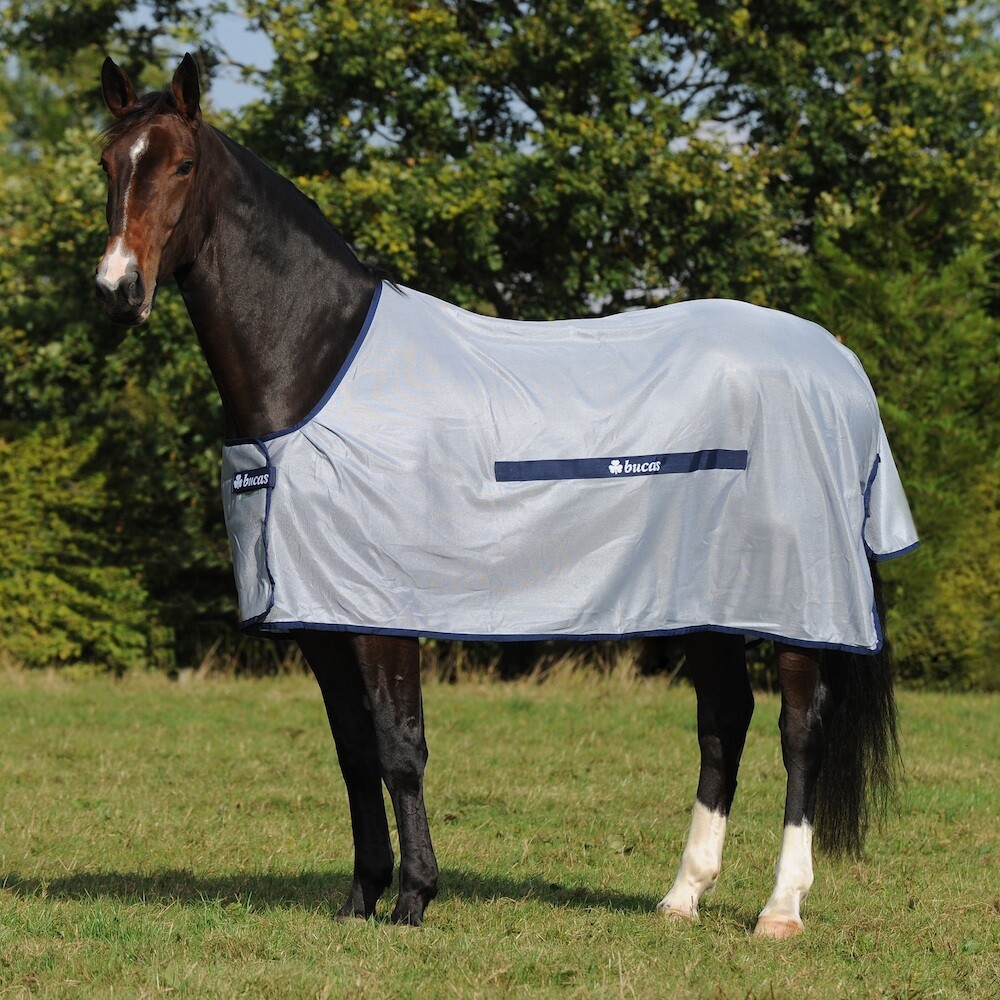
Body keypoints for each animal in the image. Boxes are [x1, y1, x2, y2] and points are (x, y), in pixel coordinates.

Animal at [95, 55, 916, 937]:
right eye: (108, 163)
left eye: (182, 165)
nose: (116, 290)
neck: (317, 363)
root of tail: (837, 361)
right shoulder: (322, 619)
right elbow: (352, 752)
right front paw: (361, 895)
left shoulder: (385, 615)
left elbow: (399, 748)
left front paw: (414, 897)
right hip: (708, 604)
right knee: (723, 723)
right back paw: (681, 897)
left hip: (796, 605)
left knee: (801, 733)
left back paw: (780, 909)